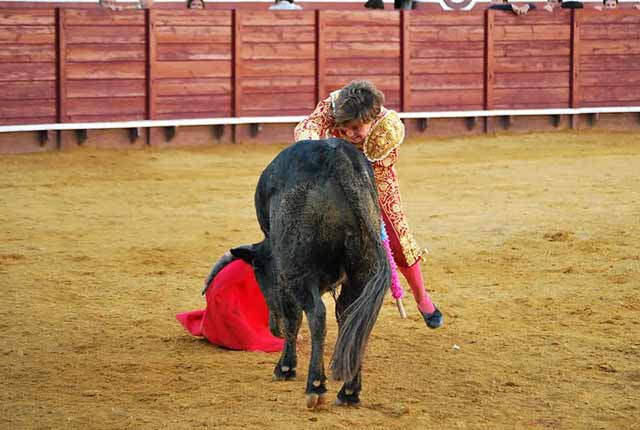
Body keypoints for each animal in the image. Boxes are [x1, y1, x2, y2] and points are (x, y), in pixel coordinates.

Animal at [208, 139, 392, 408]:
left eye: (258, 273)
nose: (272, 328)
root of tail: (337, 157)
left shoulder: (286, 277)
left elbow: (293, 316)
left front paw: (286, 368)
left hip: (298, 271)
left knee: (317, 314)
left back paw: (315, 385)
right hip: (362, 268)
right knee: (354, 320)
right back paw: (348, 391)